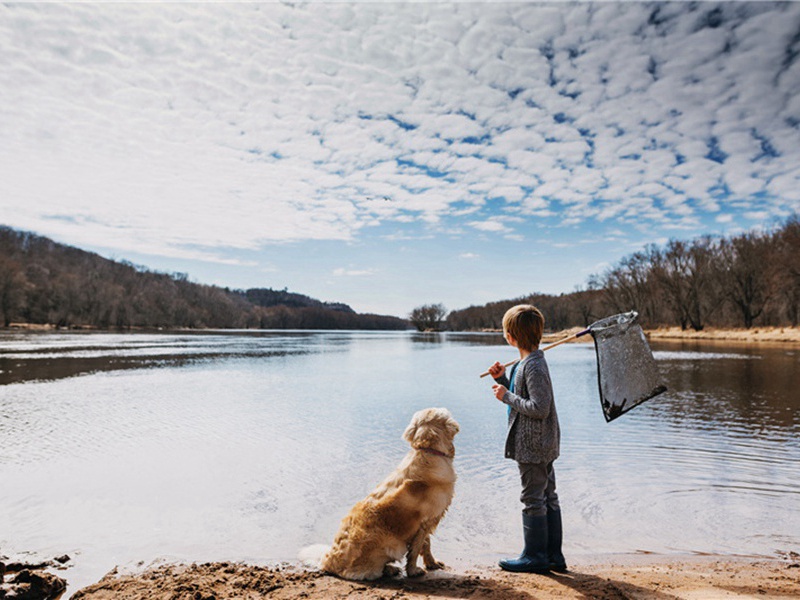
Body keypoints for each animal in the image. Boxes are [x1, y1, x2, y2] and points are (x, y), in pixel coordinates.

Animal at [318, 406, 456, 580]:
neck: (428, 452)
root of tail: (328, 563)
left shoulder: (427, 521)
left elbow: (426, 544)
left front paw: (432, 563)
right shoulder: (426, 521)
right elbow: (416, 550)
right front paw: (413, 571)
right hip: (393, 544)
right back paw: (389, 569)